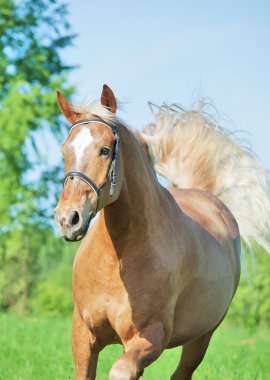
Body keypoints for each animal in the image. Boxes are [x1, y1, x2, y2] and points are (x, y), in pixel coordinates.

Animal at [53, 84, 268, 378]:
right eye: (65, 151)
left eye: (105, 150)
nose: (68, 219)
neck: (117, 259)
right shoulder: (84, 335)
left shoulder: (151, 336)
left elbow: (120, 371)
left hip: (201, 338)